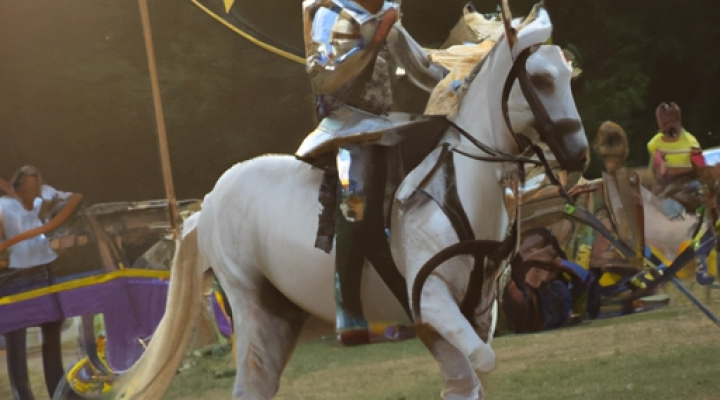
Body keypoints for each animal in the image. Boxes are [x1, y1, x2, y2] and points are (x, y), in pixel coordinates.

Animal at [108, 3, 592, 400]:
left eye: (568, 76)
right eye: (541, 79)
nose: (577, 155)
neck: (461, 188)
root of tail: (206, 205)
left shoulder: (473, 312)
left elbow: (469, 380)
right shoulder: (433, 301)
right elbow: (481, 365)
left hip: (286, 315)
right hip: (254, 308)